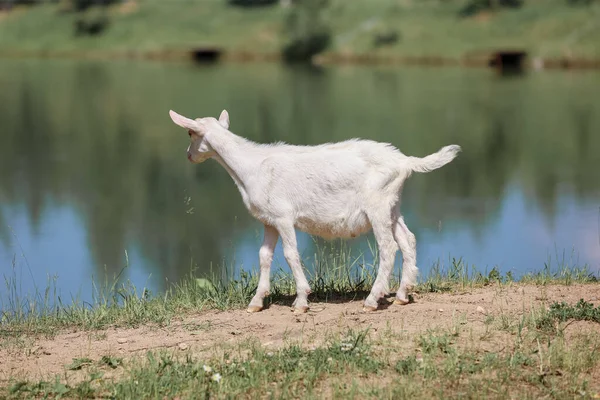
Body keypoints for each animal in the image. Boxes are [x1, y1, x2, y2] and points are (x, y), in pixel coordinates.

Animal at [171, 108, 462, 312]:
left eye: (189, 134)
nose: (188, 155)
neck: (250, 167)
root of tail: (404, 161)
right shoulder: (268, 220)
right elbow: (264, 256)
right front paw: (256, 301)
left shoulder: (283, 216)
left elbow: (290, 254)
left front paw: (301, 300)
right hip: (393, 205)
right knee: (407, 239)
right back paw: (401, 295)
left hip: (377, 204)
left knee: (389, 247)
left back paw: (372, 299)